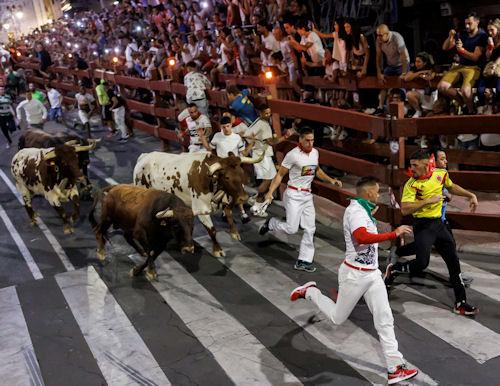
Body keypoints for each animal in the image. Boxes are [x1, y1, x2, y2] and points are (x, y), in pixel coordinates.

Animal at [133, 150, 266, 256]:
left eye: (241, 173)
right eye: (227, 177)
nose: (244, 198)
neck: (211, 181)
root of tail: (144, 156)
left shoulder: (223, 199)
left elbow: (228, 212)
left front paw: (234, 233)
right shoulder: (201, 209)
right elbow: (212, 230)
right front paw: (217, 250)